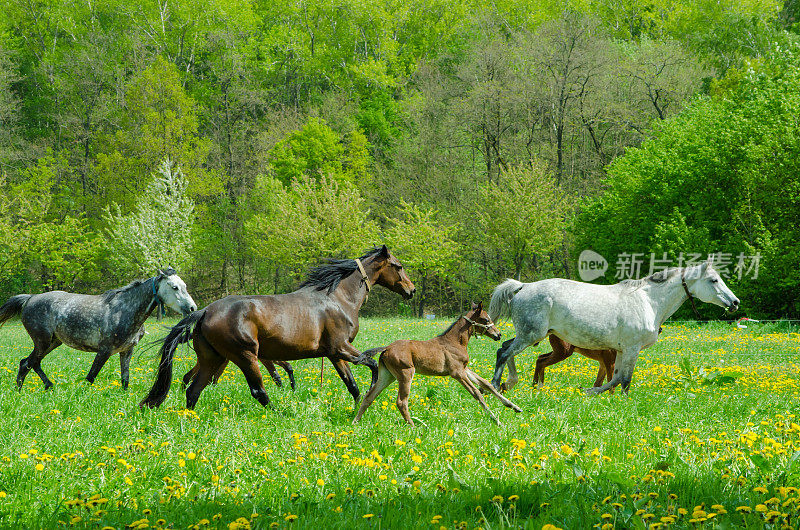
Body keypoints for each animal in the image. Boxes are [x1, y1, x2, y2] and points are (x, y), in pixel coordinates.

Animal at [0, 268, 197, 388]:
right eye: (174, 287)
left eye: (185, 286)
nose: (192, 308)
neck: (126, 310)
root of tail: (30, 298)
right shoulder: (104, 351)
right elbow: (90, 378)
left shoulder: (126, 351)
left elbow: (125, 381)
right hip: (42, 341)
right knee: (28, 363)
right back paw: (33, 388)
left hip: (54, 342)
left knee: (30, 363)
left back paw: (38, 388)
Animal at [354, 302, 520, 424]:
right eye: (486, 320)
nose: (498, 334)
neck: (455, 342)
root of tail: (386, 348)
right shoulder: (457, 373)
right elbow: (477, 393)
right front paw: (497, 421)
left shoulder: (464, 369)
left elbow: (486, 384)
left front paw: (513, 406)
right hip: (405, 373)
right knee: (401, 401)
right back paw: (413, 426)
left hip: (387, 375)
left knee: (369, 396)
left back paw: (355, 421)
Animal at [490, 256, 740, 392]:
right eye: (714, 280)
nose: (735, 302)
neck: (648, 301)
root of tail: (522, 286)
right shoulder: (631, 349)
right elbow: (625, 380)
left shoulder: (620, 351)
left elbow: (616, 378)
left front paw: (591, 392)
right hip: (531, 335)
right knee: (504, 353)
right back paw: (495, 385)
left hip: (530, 335)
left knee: (504, 348)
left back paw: (509, 383)